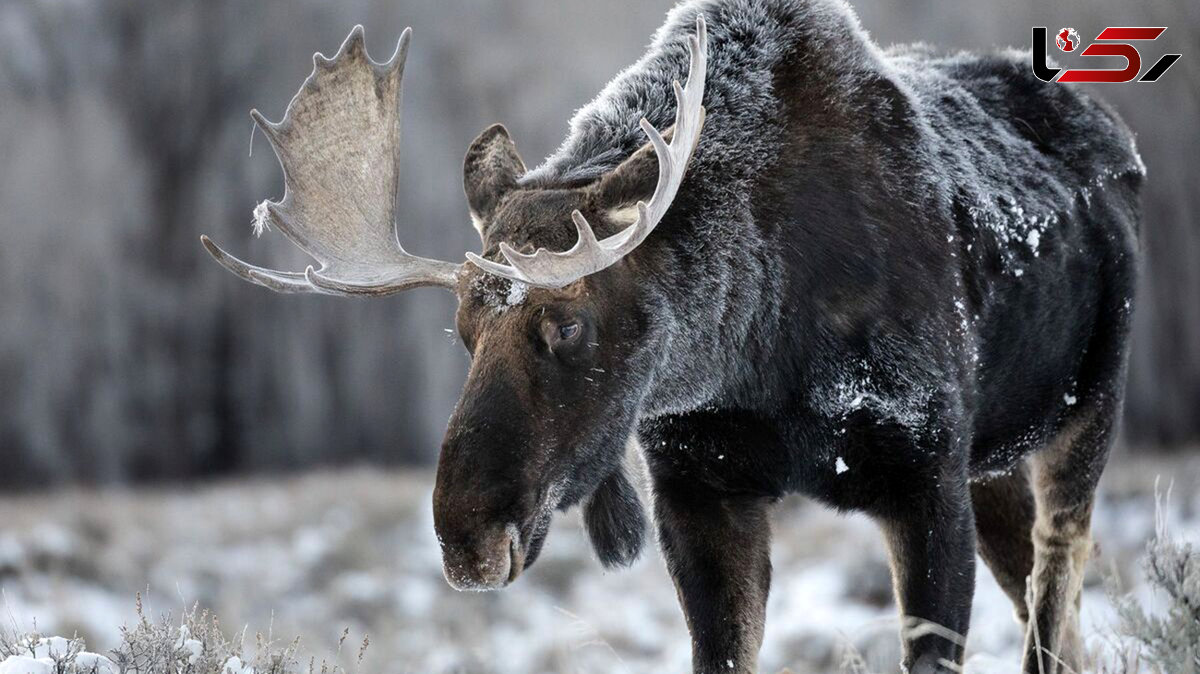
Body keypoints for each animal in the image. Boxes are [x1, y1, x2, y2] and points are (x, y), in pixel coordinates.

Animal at [204, 2, 1142, 666]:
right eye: (461, 332)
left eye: (568, 325)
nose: (467, 537)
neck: (758, 357)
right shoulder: (698, 490)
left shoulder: (922, 476)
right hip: (995, 464)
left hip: (1084, 416)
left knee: (1056, 602)